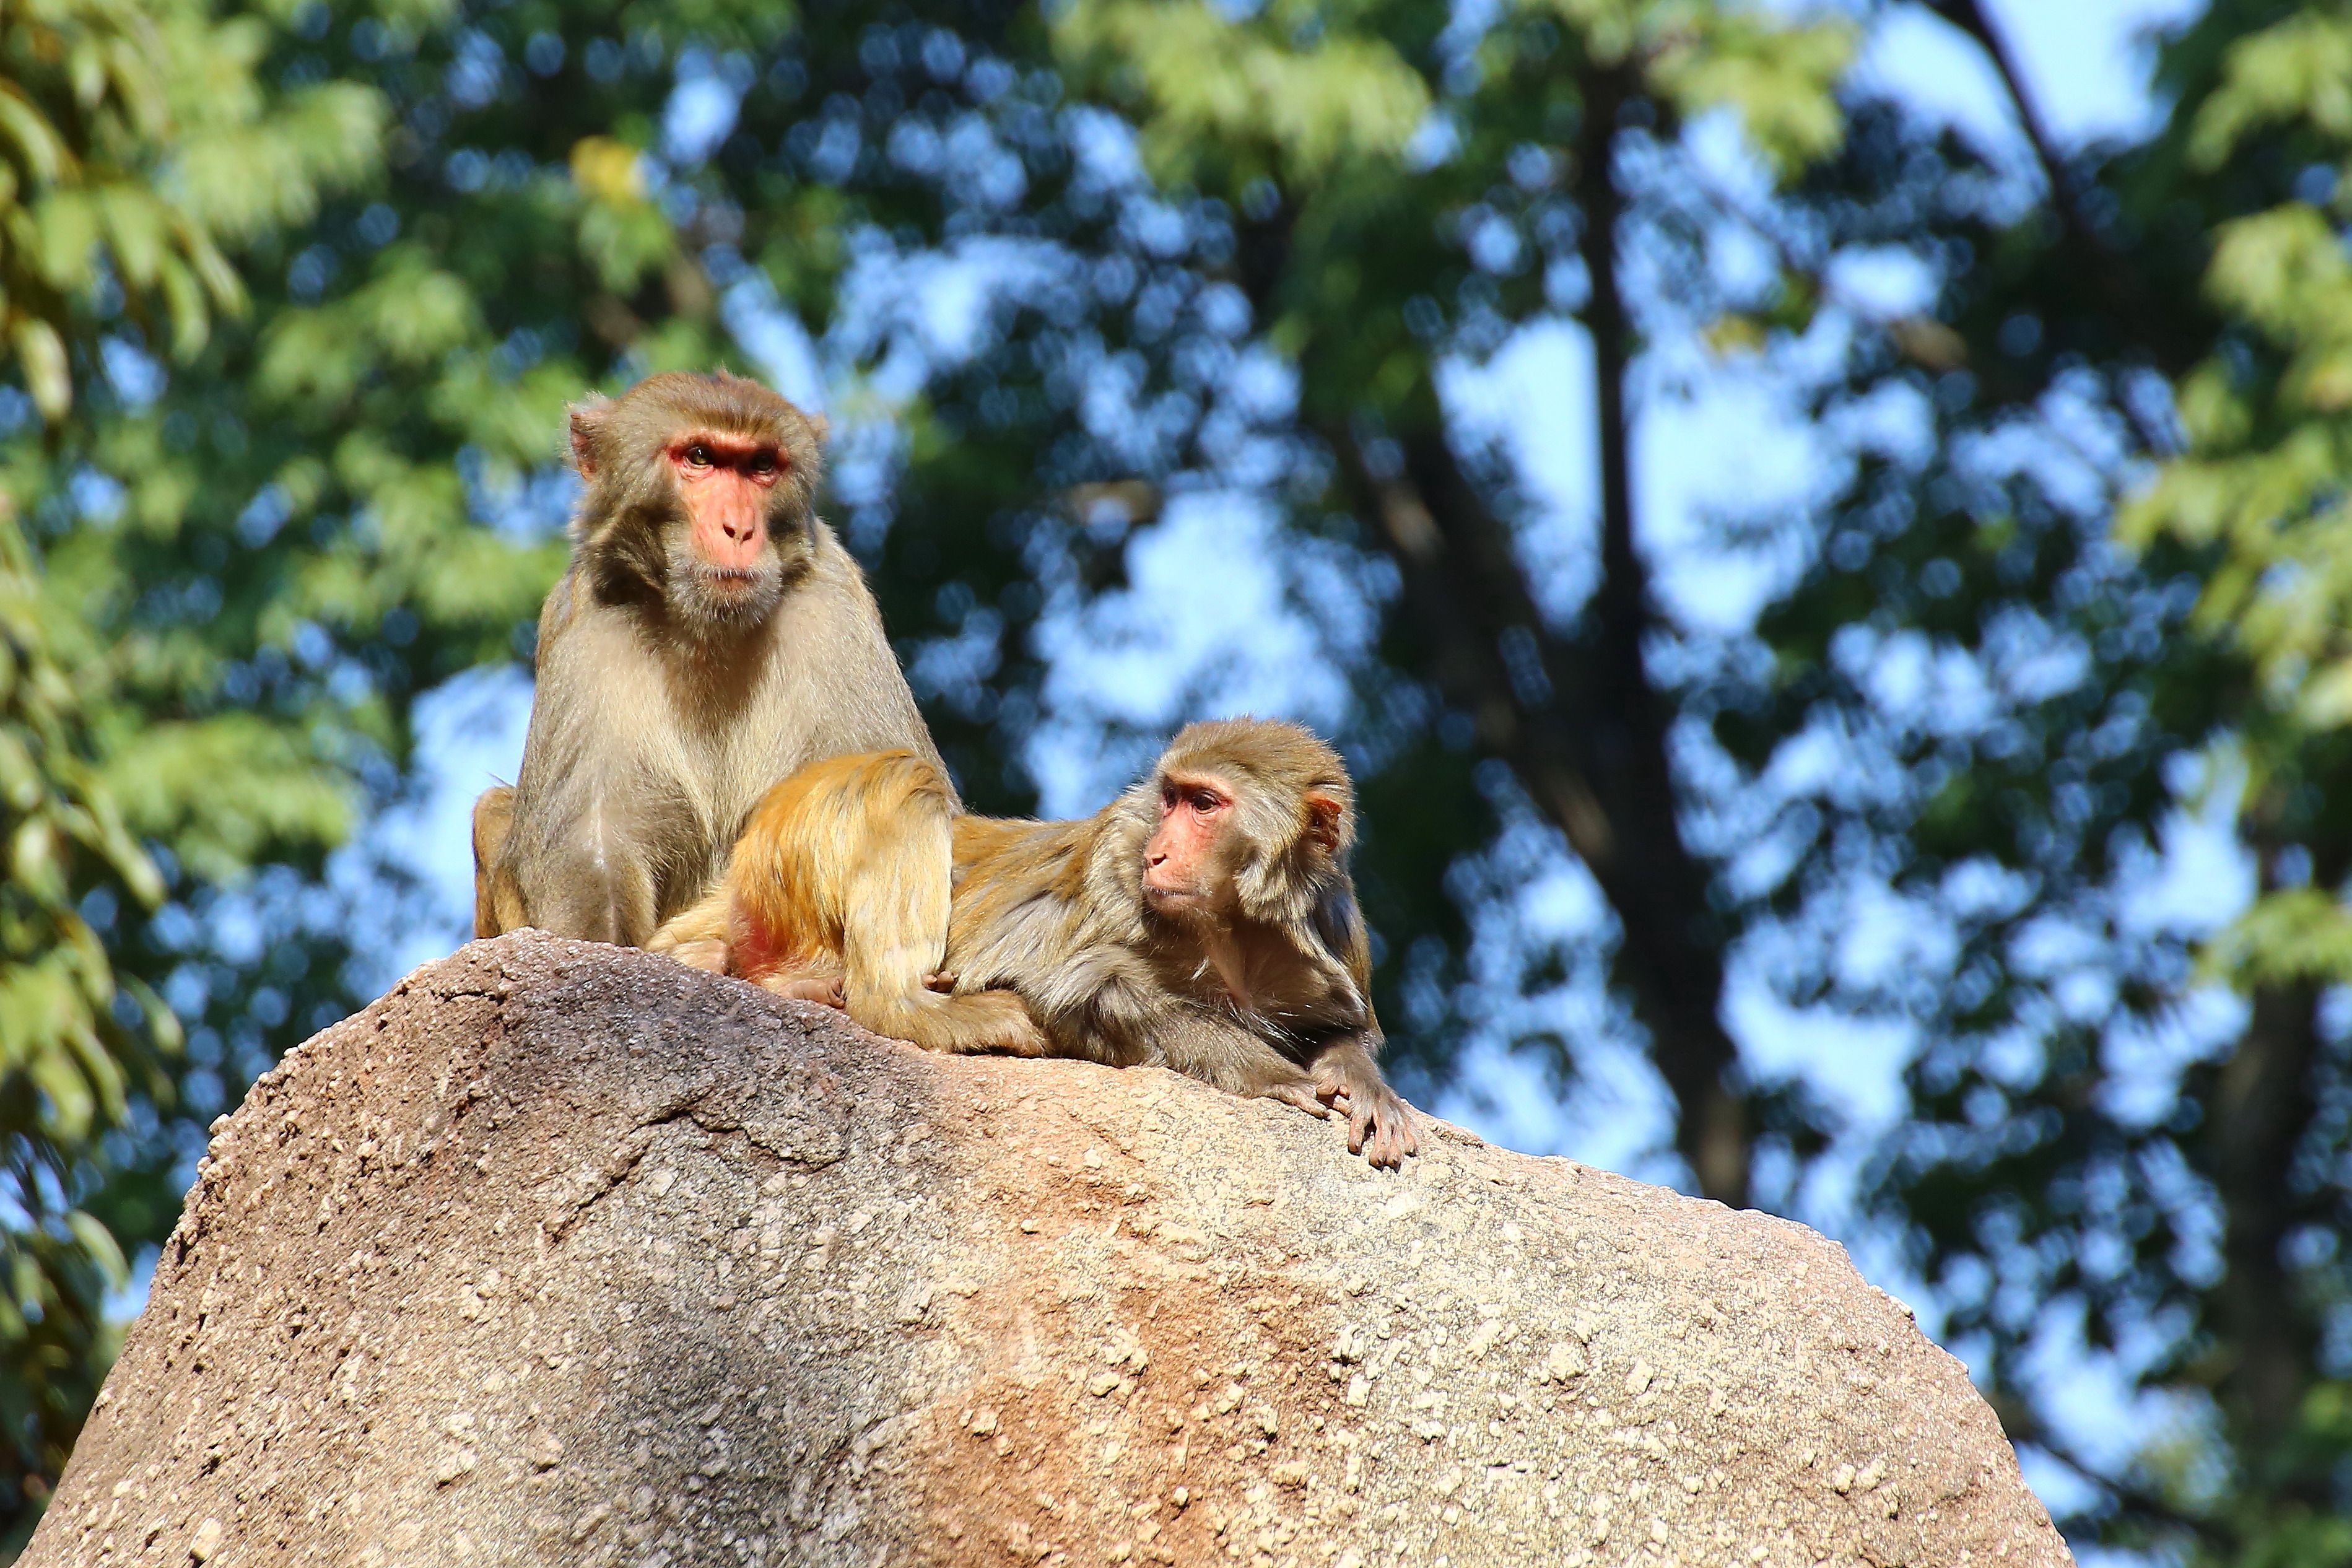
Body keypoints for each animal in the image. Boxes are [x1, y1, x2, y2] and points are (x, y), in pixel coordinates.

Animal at [463, 373, 950, 949]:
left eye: (760, 465)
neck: (708, 629)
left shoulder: (836, 611)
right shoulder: (584, 621)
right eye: (700, 457)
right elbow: (588, 848)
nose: (738, 529)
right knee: (495, 811)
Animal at [644, 719, 1411, 1165]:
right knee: (905, 780)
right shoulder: (1117, 864)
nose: (1159, 853)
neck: (1232, 927)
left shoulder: (1337, 928)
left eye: (1204, 805)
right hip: (794, 842)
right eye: (1171, 799)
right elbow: (1084, 988)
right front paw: (1277, 1075)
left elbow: (1341, 1026)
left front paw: (1363, 1084)